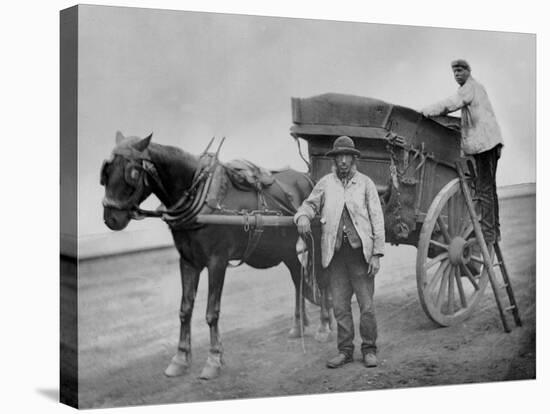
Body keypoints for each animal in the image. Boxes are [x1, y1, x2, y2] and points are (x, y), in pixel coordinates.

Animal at [100, 132, 332, 378]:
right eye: (106, 172)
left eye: (132, 173)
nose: (110, 218)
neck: (200, 197)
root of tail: (309, 179)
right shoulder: (188, 262)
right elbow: (185, 310)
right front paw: (180, 358)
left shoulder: (217, 262)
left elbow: (212, 312)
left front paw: (213, 359)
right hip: (285, 249)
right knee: (298, 278)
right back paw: (299, 326)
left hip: (315, 240)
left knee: (322, 279)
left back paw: (325, 325)